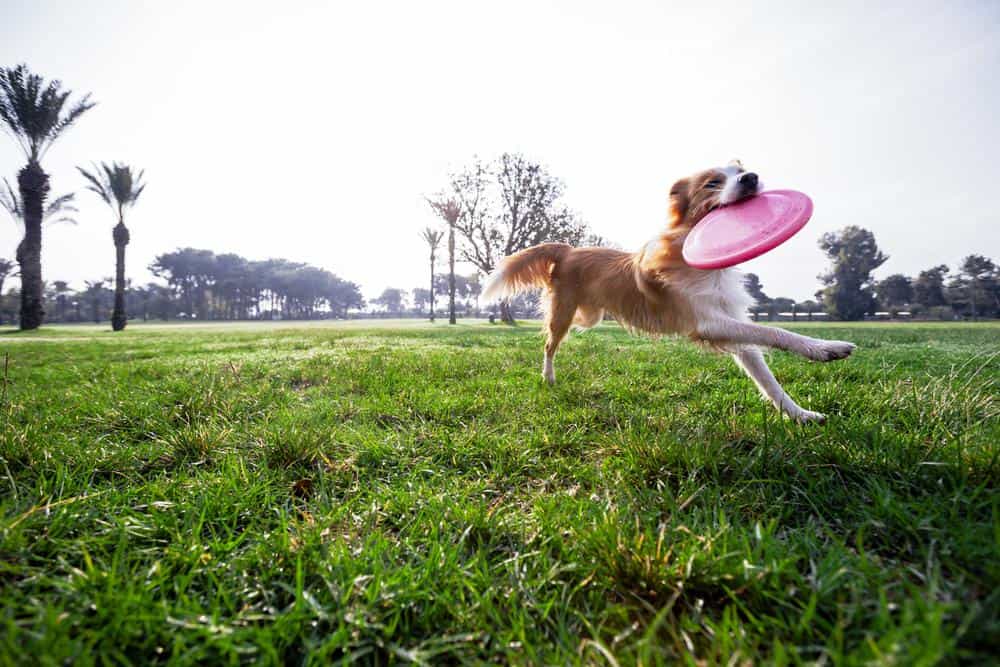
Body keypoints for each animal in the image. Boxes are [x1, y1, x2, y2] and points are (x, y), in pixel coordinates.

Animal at [480, 162, 856, 422]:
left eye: (740, 169)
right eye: (712, 183)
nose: (751, 177)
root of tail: (569, 249)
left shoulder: (731, 325)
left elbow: (767, 377)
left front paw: (800, 414)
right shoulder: (708, 323)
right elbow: (774, 331)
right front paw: (826, 348)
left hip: (590, 316)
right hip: (564, 313)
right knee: (548, 345)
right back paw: (548, 377)